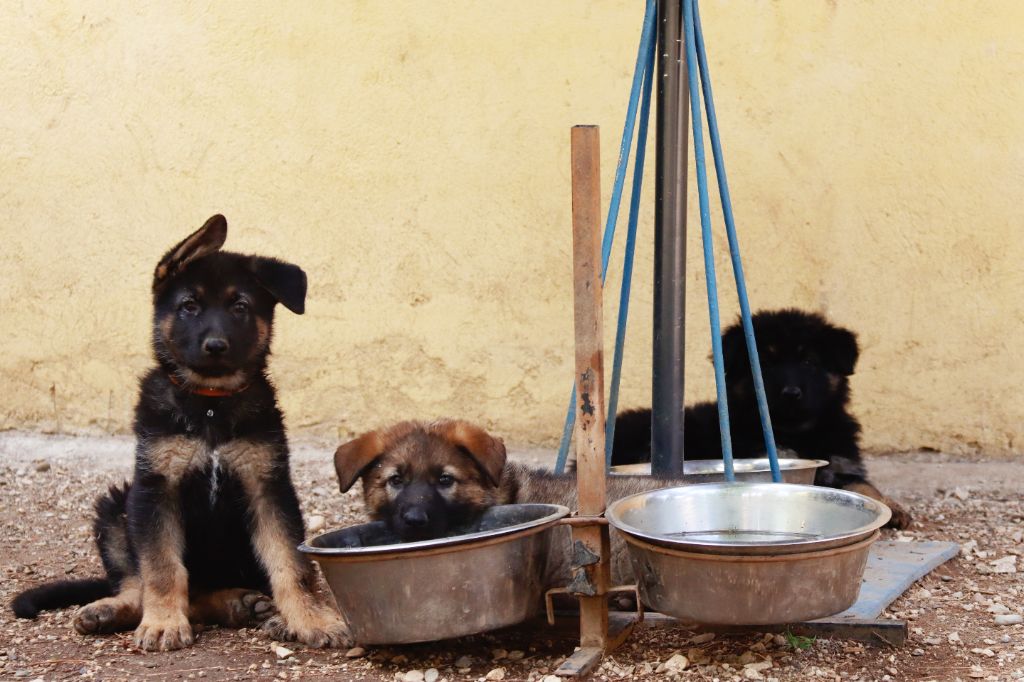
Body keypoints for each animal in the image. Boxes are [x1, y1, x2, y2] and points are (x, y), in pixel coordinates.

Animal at [9, 216, 350, 647]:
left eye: (240, 307)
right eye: (189, 306)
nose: (216, 346)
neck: (210, 402)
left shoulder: (268, 486)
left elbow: (292, 564)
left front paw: (312, 620)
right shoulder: (157, 488)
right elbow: (161, 568)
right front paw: (163, 623)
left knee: (208, 593)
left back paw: (248, 607)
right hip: (117, 508)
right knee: (137, 585)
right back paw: (113, 610)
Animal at [606, 307, 913, 524]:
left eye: (809, 361)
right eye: (764, 364)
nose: (790, 393)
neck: (798, 432)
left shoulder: (841, 462)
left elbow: (861, 484)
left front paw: (892, 506)